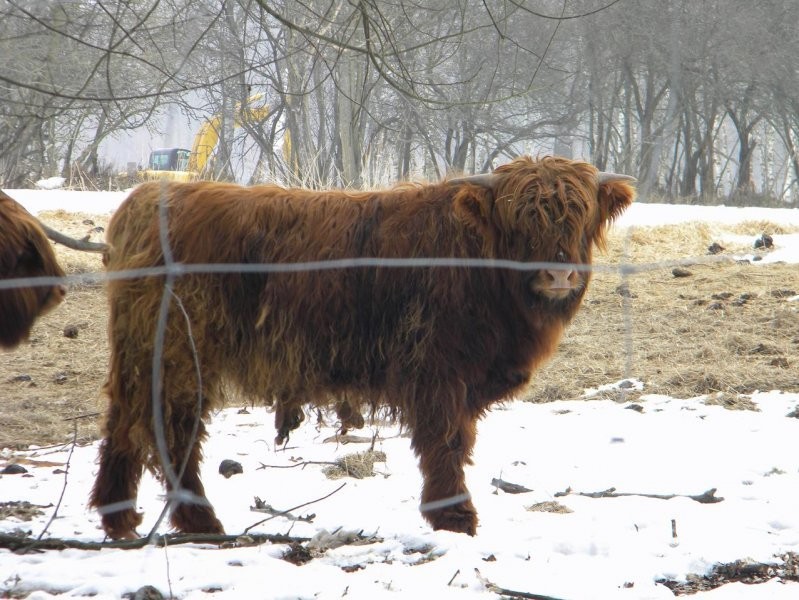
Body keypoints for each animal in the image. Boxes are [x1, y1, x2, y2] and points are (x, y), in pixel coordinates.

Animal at [89, 155, 635, 540]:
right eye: (521, 221)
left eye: (578, 216)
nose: (558, 275)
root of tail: (146, 198)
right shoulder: (437, 371)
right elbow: (446, 442)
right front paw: (454, 517)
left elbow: (457, 441)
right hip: (179, 354)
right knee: (170, 428)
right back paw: (198, 522)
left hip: (145, 354)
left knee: (124, 420)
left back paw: (119, 518)